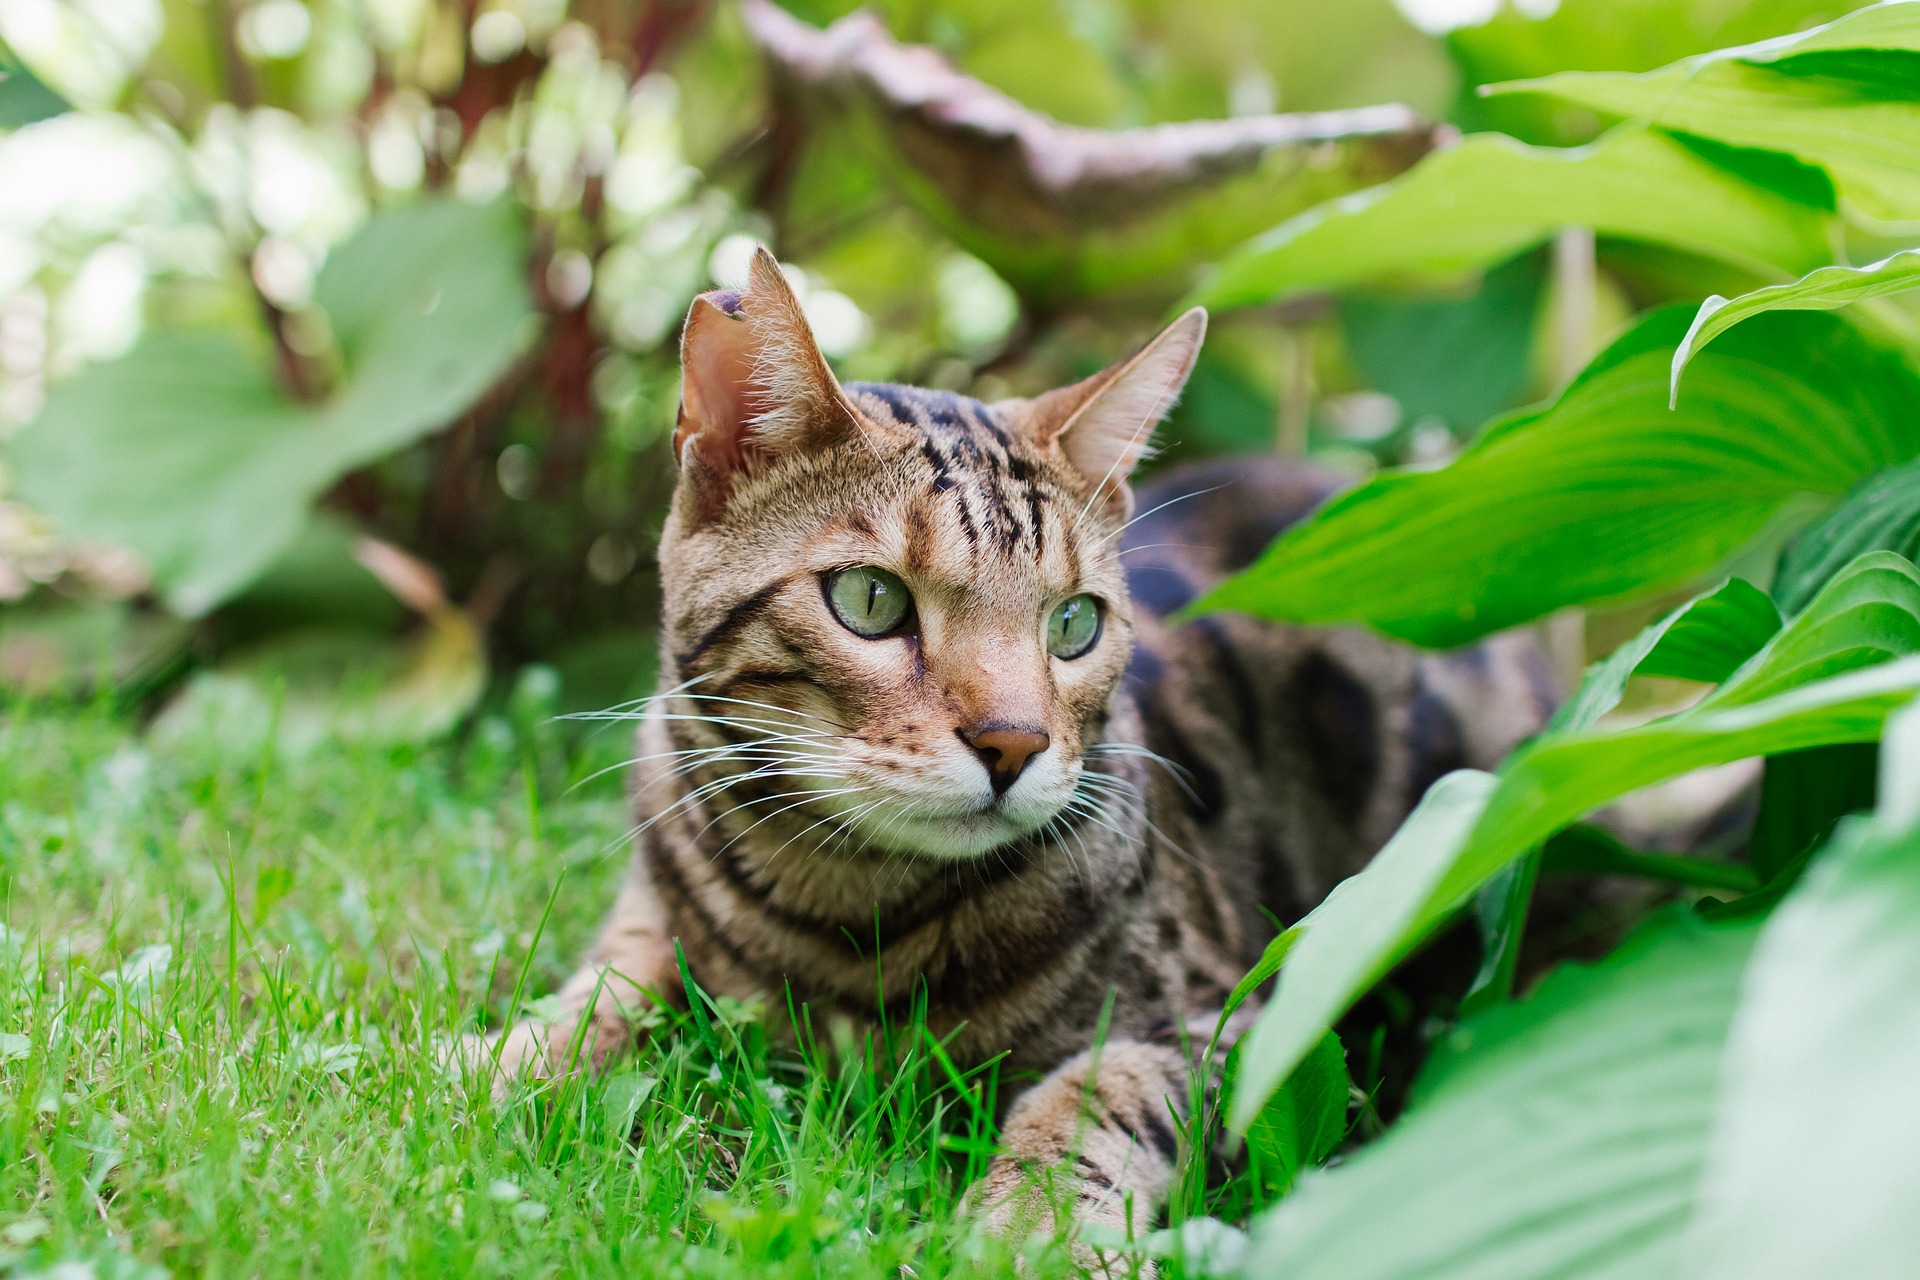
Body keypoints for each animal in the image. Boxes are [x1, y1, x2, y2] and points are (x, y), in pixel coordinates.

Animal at [472, 247, 1551, 1258]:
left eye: (1073, 623)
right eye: (870, 599)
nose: (1013, 742)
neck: (845, 910)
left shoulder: (1249, 1015)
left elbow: (1100, 1093)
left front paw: (1029, 1225)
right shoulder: (651, 919)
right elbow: (597, 1000)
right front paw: (490, 1065)